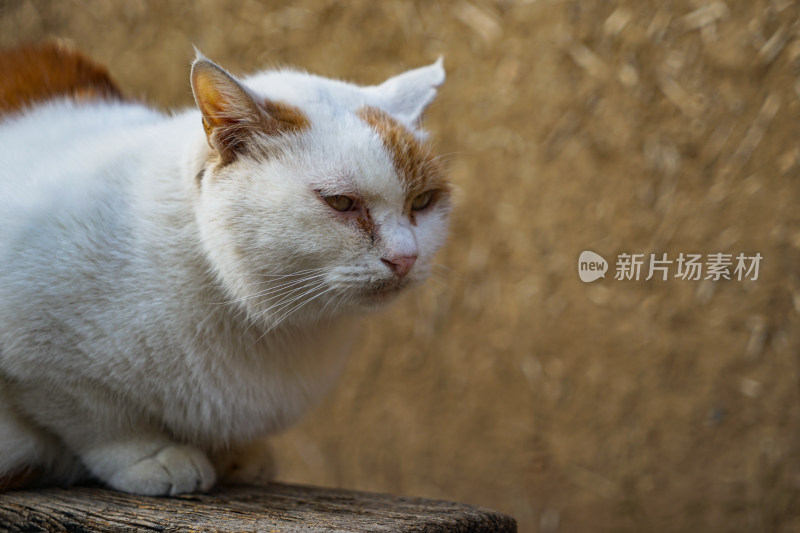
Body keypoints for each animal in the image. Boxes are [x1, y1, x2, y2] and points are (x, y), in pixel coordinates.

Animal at [0, 44, 450, 494]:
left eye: (423, 201)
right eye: (340, 202)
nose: (406, 257)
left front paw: (234, 455)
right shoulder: (44, 362)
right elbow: (99, 422)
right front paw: (153, 456)